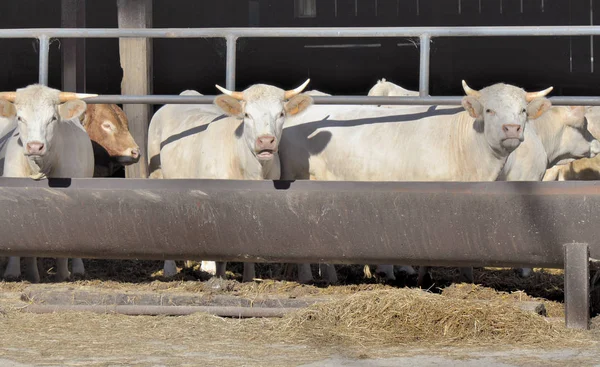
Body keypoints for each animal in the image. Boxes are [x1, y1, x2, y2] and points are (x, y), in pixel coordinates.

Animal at [148, 80, 314, 282]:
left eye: (281, 113)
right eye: (247, 114)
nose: (266, 141)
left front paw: (248, 279)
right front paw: (219, 278)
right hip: (157, 174)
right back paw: (171, 269)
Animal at [282, 81, 552, 284]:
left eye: (523, 110)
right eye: (489, 110)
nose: (512, 128)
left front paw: (466, 279)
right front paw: (425, 278)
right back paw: (307, 277)